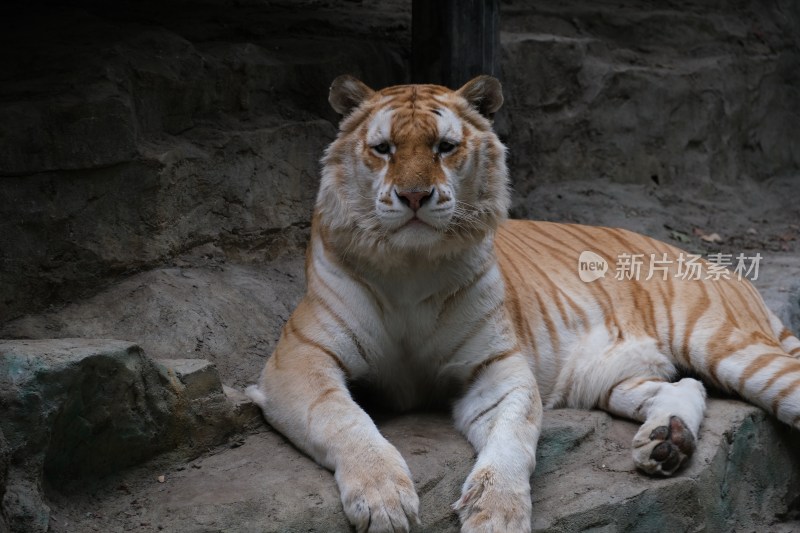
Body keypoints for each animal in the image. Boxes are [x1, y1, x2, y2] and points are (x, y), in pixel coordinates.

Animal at [245, 72, 800, 528]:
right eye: (382, 148)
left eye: (445, 147)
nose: (415, 196)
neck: (412, 265)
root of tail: (719, 266)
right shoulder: (299, 361)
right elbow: (343, 419)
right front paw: (384, 500)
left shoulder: (497, 366)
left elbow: (513, 437)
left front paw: (496, 512)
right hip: (609, 378)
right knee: (685, 384)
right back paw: (668, 443)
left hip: (721, 341)